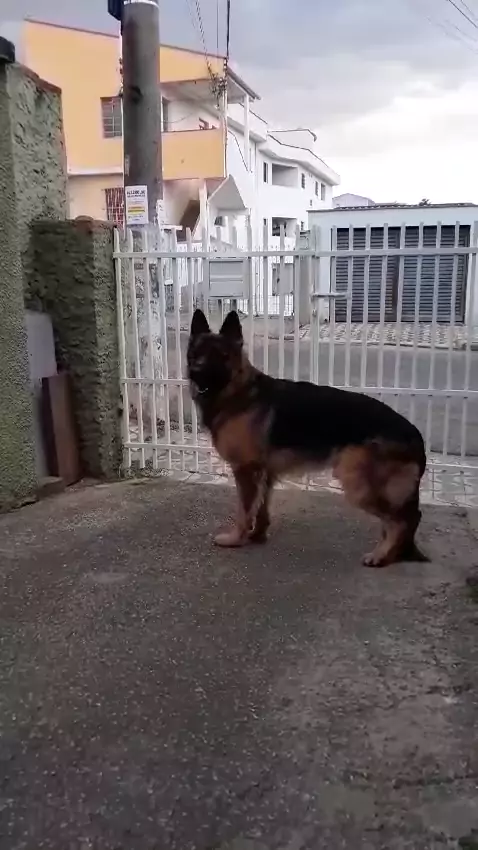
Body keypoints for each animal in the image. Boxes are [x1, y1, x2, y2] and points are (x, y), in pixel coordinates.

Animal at [187, 308, 427, 567]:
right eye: (195, 354)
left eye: (218, 355)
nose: (195, 372)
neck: (239, 392)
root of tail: (415, 433)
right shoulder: (264, 474)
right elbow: (261, 509)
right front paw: (257, 536)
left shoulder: (245, 471)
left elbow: (244, 510)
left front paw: (236, 539)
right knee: (407, 517)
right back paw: (393, 553)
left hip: (358, 485)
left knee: (403, 519)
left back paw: (381, 555)